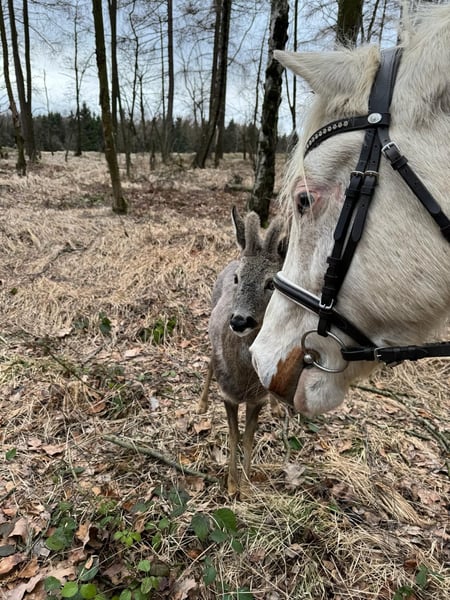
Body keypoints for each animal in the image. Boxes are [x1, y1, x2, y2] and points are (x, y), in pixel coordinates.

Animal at [198, 206, 287, 495]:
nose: (239, 320)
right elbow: (234, 434)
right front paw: (230, 484)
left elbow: (249, 436)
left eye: (272, 283)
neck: (245, 379)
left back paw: (277, 408)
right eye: (238, 278)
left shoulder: (256, 399)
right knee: (209, 361)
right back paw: (201, 404)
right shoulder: (228, 394)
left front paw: (246, 485)